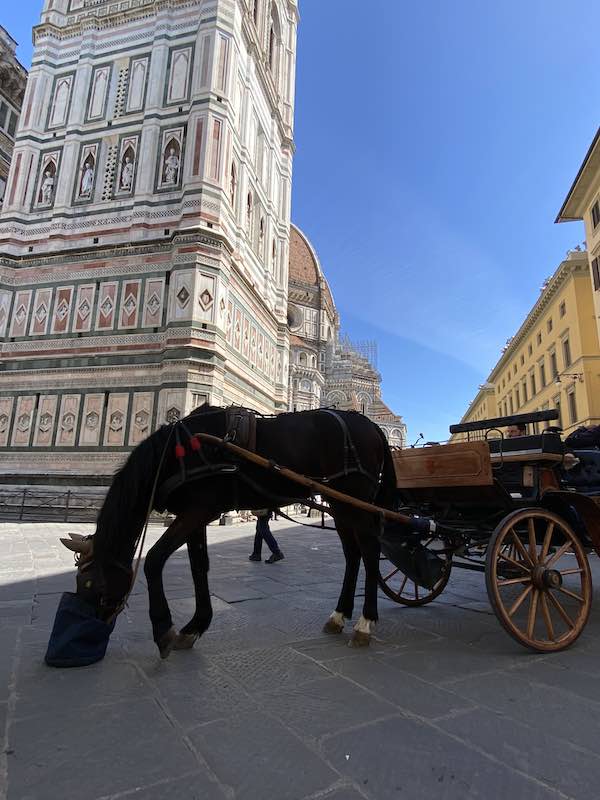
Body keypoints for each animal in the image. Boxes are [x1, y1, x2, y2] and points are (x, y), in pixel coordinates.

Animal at [62, 404, 398, 660]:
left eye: (90, 582)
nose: (96, 624)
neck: (175, 452)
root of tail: (372, 425)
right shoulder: (196, 512)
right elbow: (199, 566)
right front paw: (194, 627)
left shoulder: (198, 510)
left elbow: (155, 559)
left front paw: (164, 630)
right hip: (341, 505)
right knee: (352, 554)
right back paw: (339, 616)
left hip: (357, 499)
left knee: (369, 552)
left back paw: (365, 623)